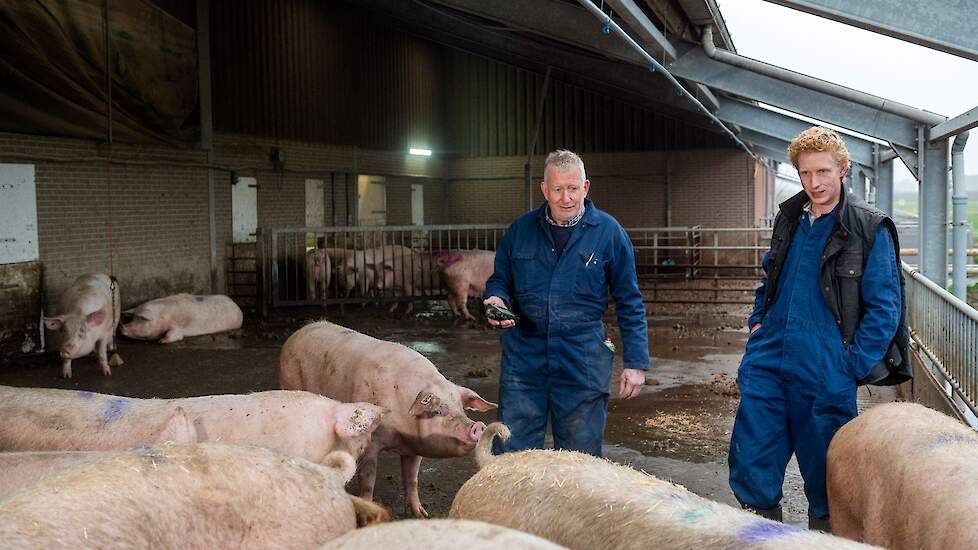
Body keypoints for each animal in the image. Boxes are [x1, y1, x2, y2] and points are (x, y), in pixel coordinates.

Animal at [280, 322, 496, 520]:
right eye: (437, 410)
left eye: (460, 408)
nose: (477, 426)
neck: (400, 434)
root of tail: (300, 331)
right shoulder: (371, 442)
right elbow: (368, 480)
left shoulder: (414, 448)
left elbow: (412, 479)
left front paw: (422, 515)